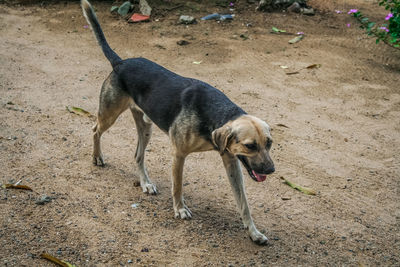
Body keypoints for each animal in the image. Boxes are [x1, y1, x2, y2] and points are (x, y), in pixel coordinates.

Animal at [81, 0, 276, 245]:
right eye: (250, 146)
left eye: (269, 143)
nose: (271, 170)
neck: (215, 113)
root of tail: (121, 62)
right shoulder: (179, 154)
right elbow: (178, 186)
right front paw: (180, 209)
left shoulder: (231, 161)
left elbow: (243, 203)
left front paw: (253, 232)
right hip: (110, 114)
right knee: (95, 129)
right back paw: (97, 157)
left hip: (146, 127)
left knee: (137, 155)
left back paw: (145, 183)